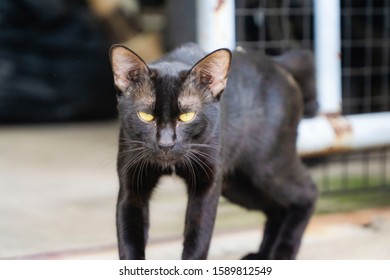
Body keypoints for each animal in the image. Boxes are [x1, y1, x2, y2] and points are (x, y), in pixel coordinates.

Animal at [109, 42, 316, 260]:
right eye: (146, 116)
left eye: (187, 116)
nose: (165, 144)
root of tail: (276, 62)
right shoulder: (132, 187)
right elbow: (129, 241)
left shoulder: (206, 185)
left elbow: (198, 239)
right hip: (237, 185)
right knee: (276, 207)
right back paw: (263, 254)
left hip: (268, 167)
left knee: (308, 191)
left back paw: (282, 252)